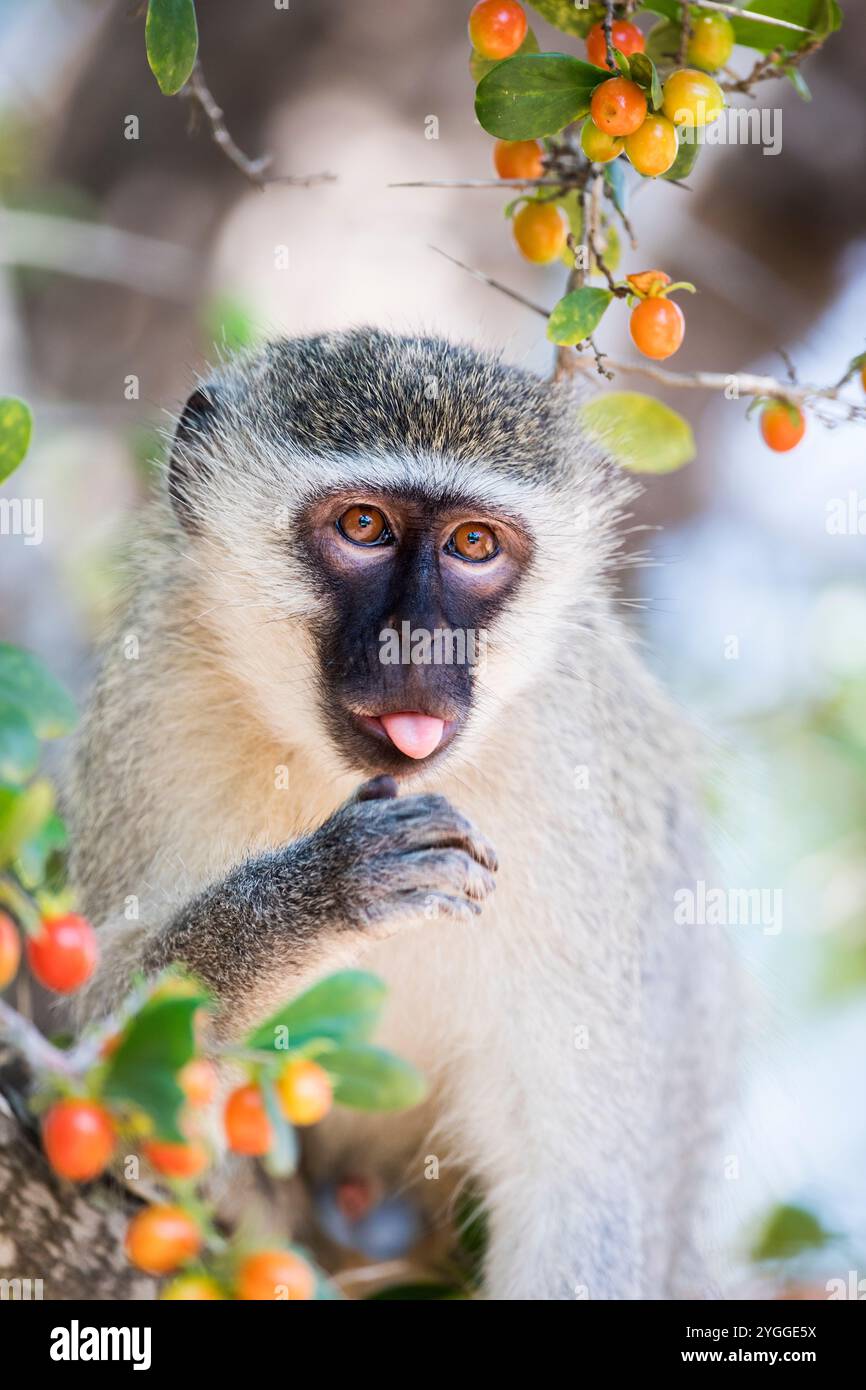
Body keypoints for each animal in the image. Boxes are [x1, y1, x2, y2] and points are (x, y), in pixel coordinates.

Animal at [68, 327, 736, 1301]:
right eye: (363, 527)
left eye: (473, 543)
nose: (418, 642)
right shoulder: (151, 703)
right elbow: (95, 1059)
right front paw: (320, 895)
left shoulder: (580, 793)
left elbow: (579, 1195)